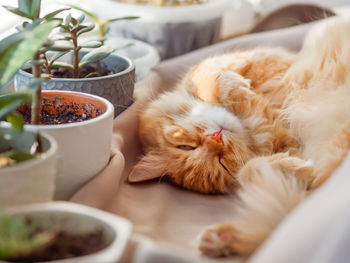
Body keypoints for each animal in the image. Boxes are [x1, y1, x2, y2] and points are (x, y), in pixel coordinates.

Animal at [128, 17, 350, 258]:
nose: (216, 139)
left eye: (186, 146)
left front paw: (236, 91)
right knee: (290, 217)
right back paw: (221, 238)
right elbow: (249, 170)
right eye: (222, 165)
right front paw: (295, 167)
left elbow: (210, 78)